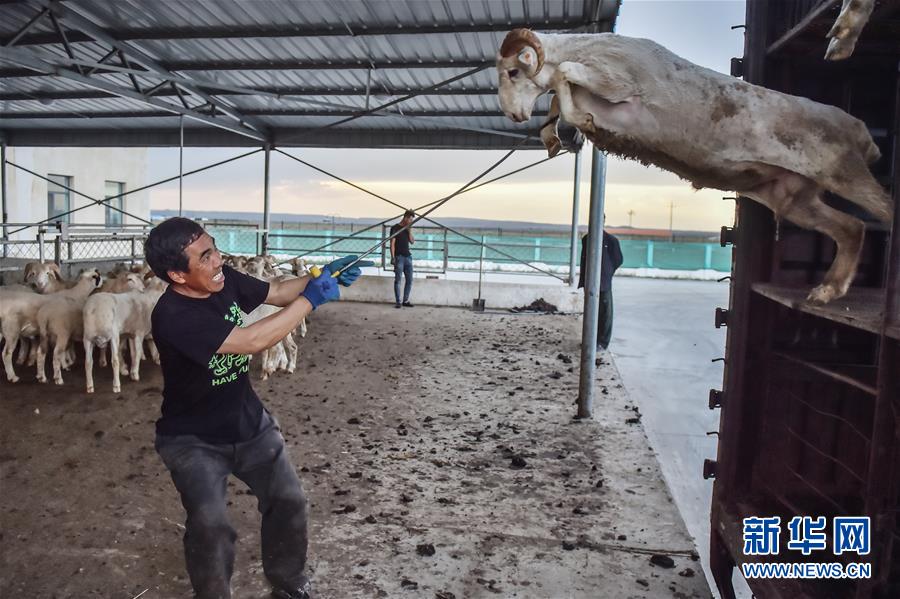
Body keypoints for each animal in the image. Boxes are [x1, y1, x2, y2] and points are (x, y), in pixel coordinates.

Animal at [497, 29, 893, 305]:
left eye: (514, 71)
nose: (514, 115)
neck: (589, 50)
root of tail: (860, 132)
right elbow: (559, 98)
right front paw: (555, 135)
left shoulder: (618, 86)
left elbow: (564, 74)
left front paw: (583, 121)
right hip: (793, 198)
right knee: (851, 228)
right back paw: (826, 291)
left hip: (843, 171)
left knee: (885, 211)